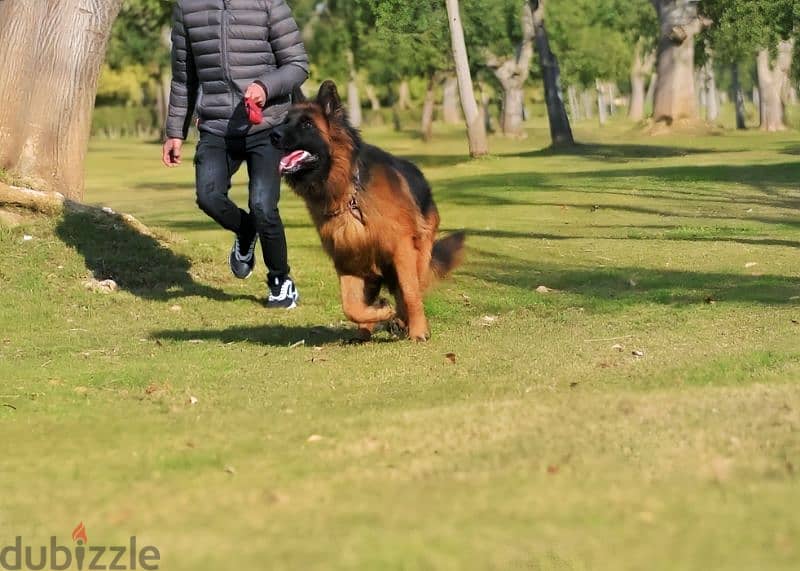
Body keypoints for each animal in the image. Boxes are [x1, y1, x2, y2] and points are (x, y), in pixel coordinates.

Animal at [272, 79, 466, 340]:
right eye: (285, 121)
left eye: (307, 124)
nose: (273, 134)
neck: (348, 193)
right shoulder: (346, 257)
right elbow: (351, 306)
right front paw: (381, 312)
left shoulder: (401, 249)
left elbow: (410, 293)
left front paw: (417, 330)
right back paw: (366, 330)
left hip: (418, 253)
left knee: (409, 290)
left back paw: (403, 322)